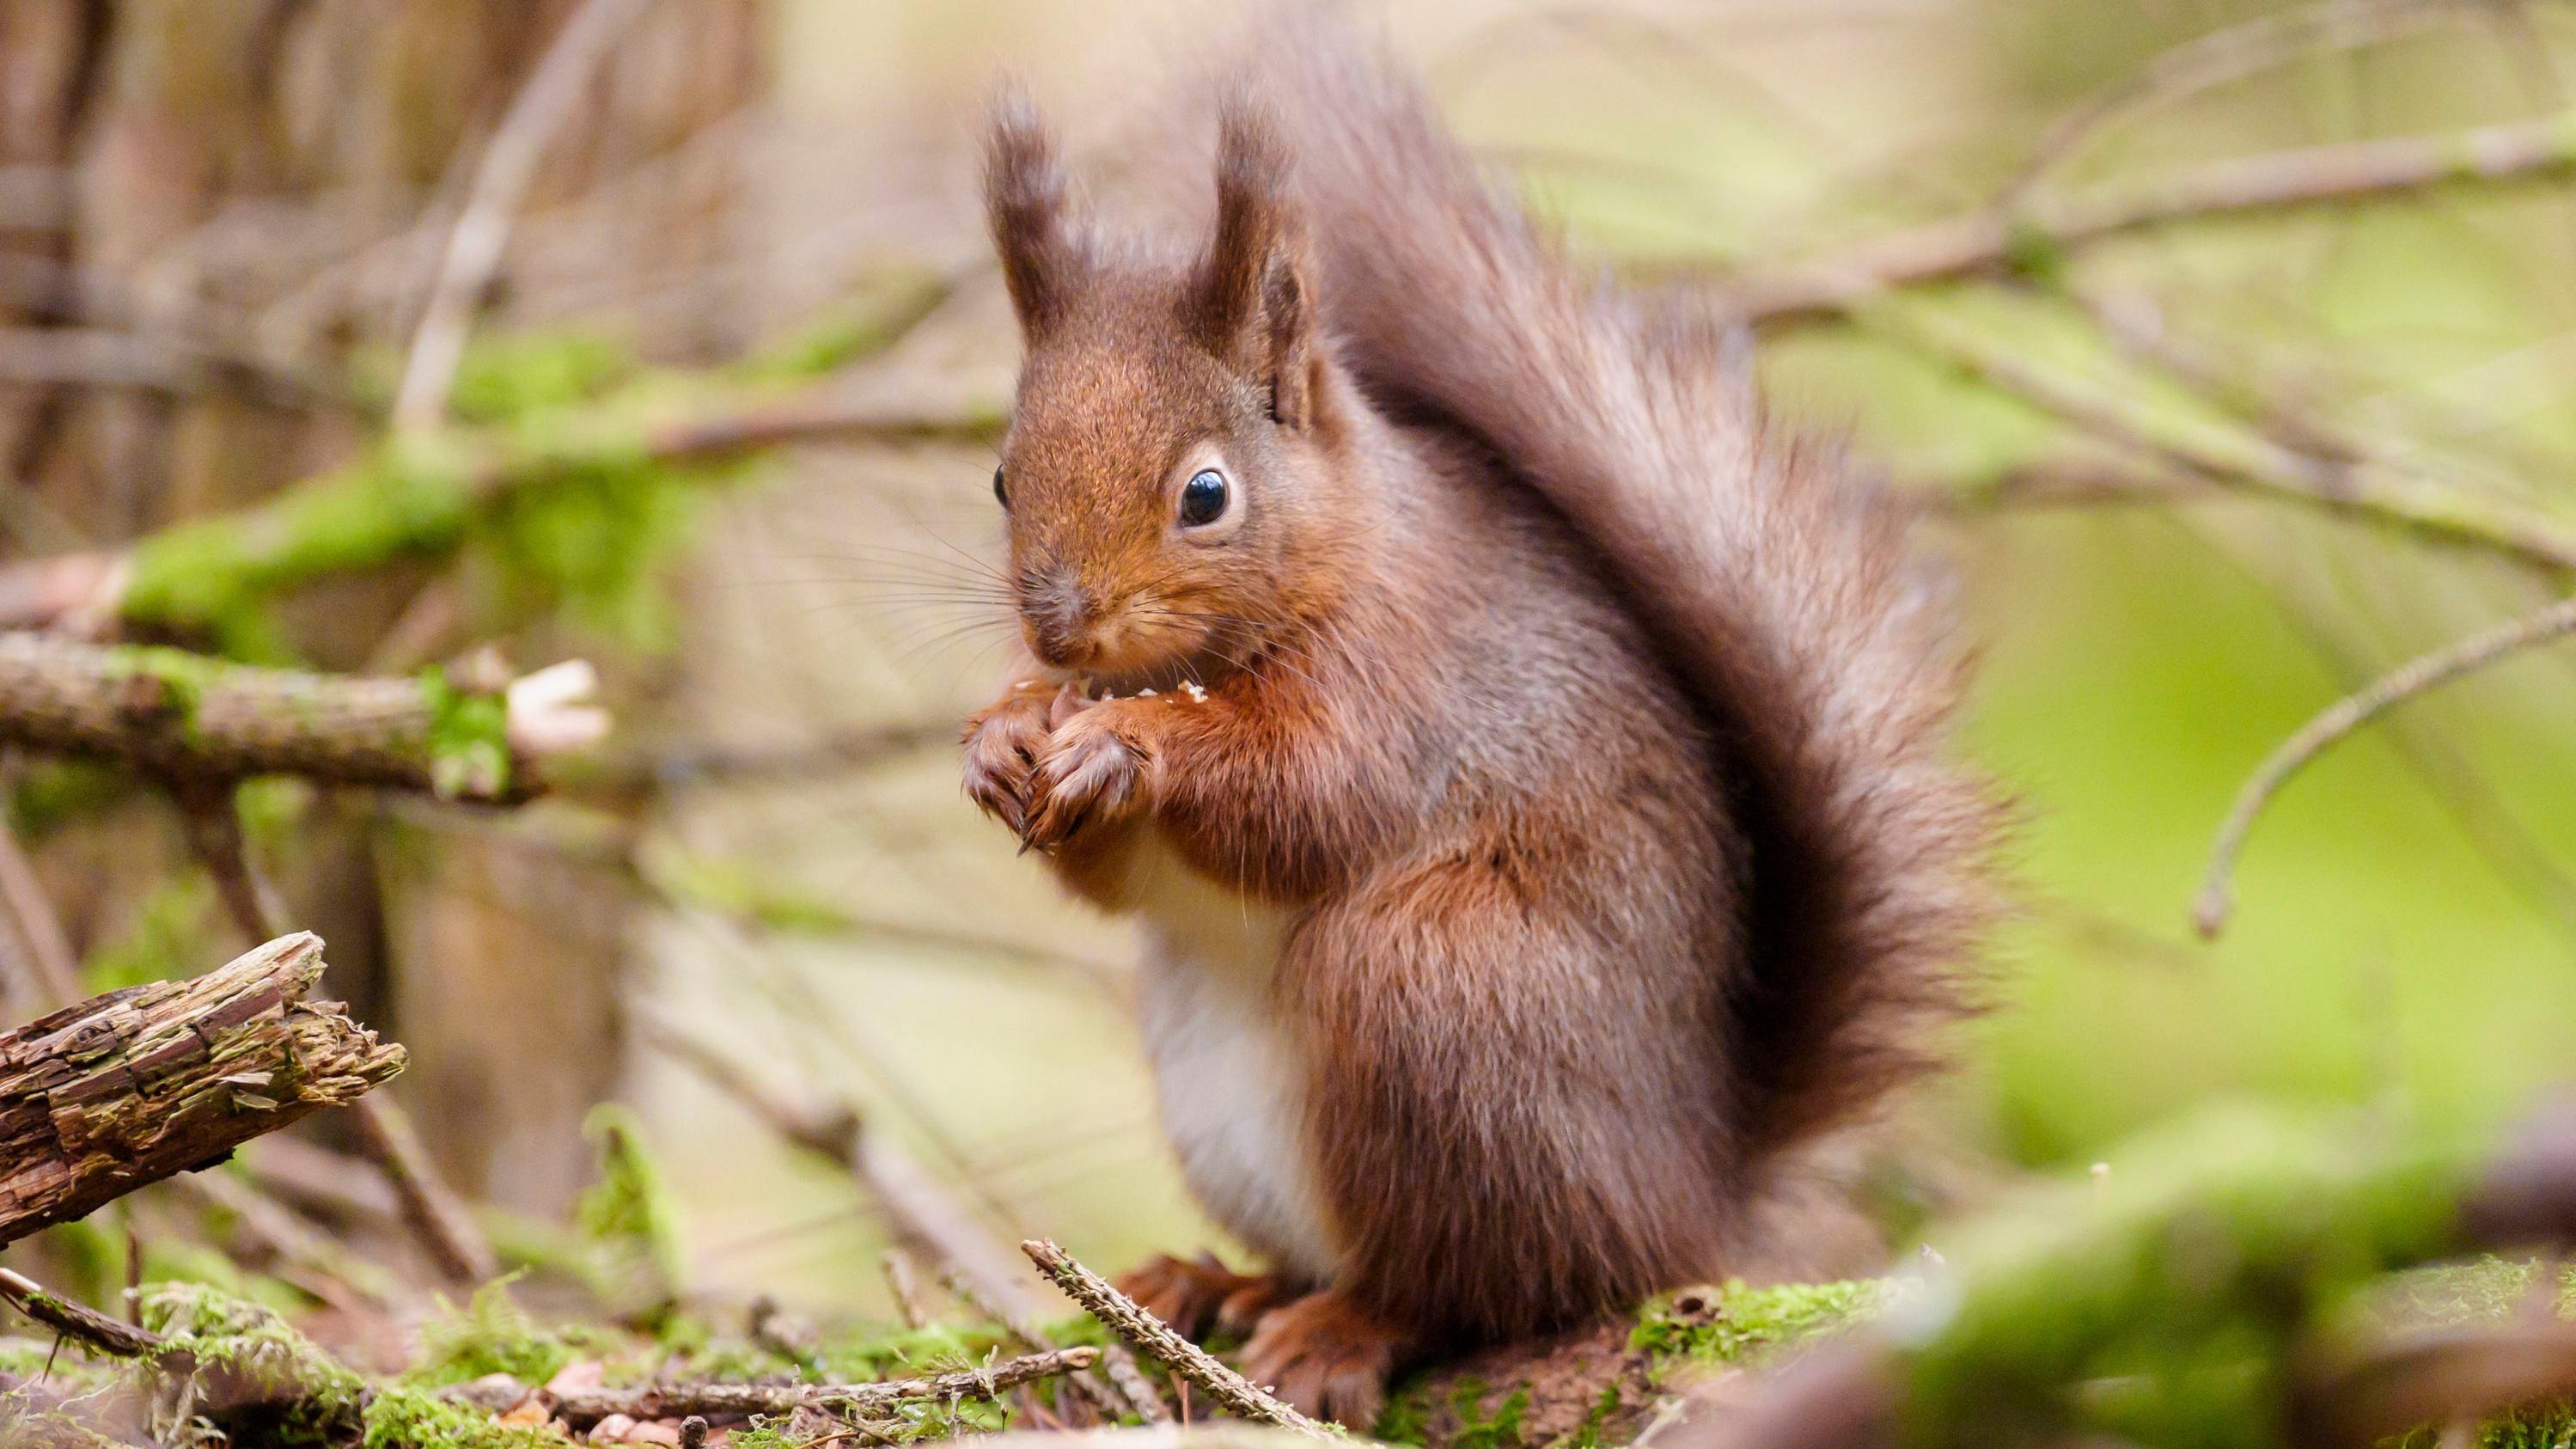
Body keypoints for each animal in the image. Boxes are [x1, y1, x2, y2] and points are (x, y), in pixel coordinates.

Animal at [957, 18, 1998, 1426]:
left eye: (1206, 495)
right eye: (1002, 478)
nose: (1059, 631)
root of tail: (1690, 1194)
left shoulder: (1403, 680)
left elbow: (1303, 797)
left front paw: (1133, 746)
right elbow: (1113, 879)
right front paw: (1004, 735)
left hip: (1439, 987)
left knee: (1483, 1286)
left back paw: (1339, 1328)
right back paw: (1213, 1282)